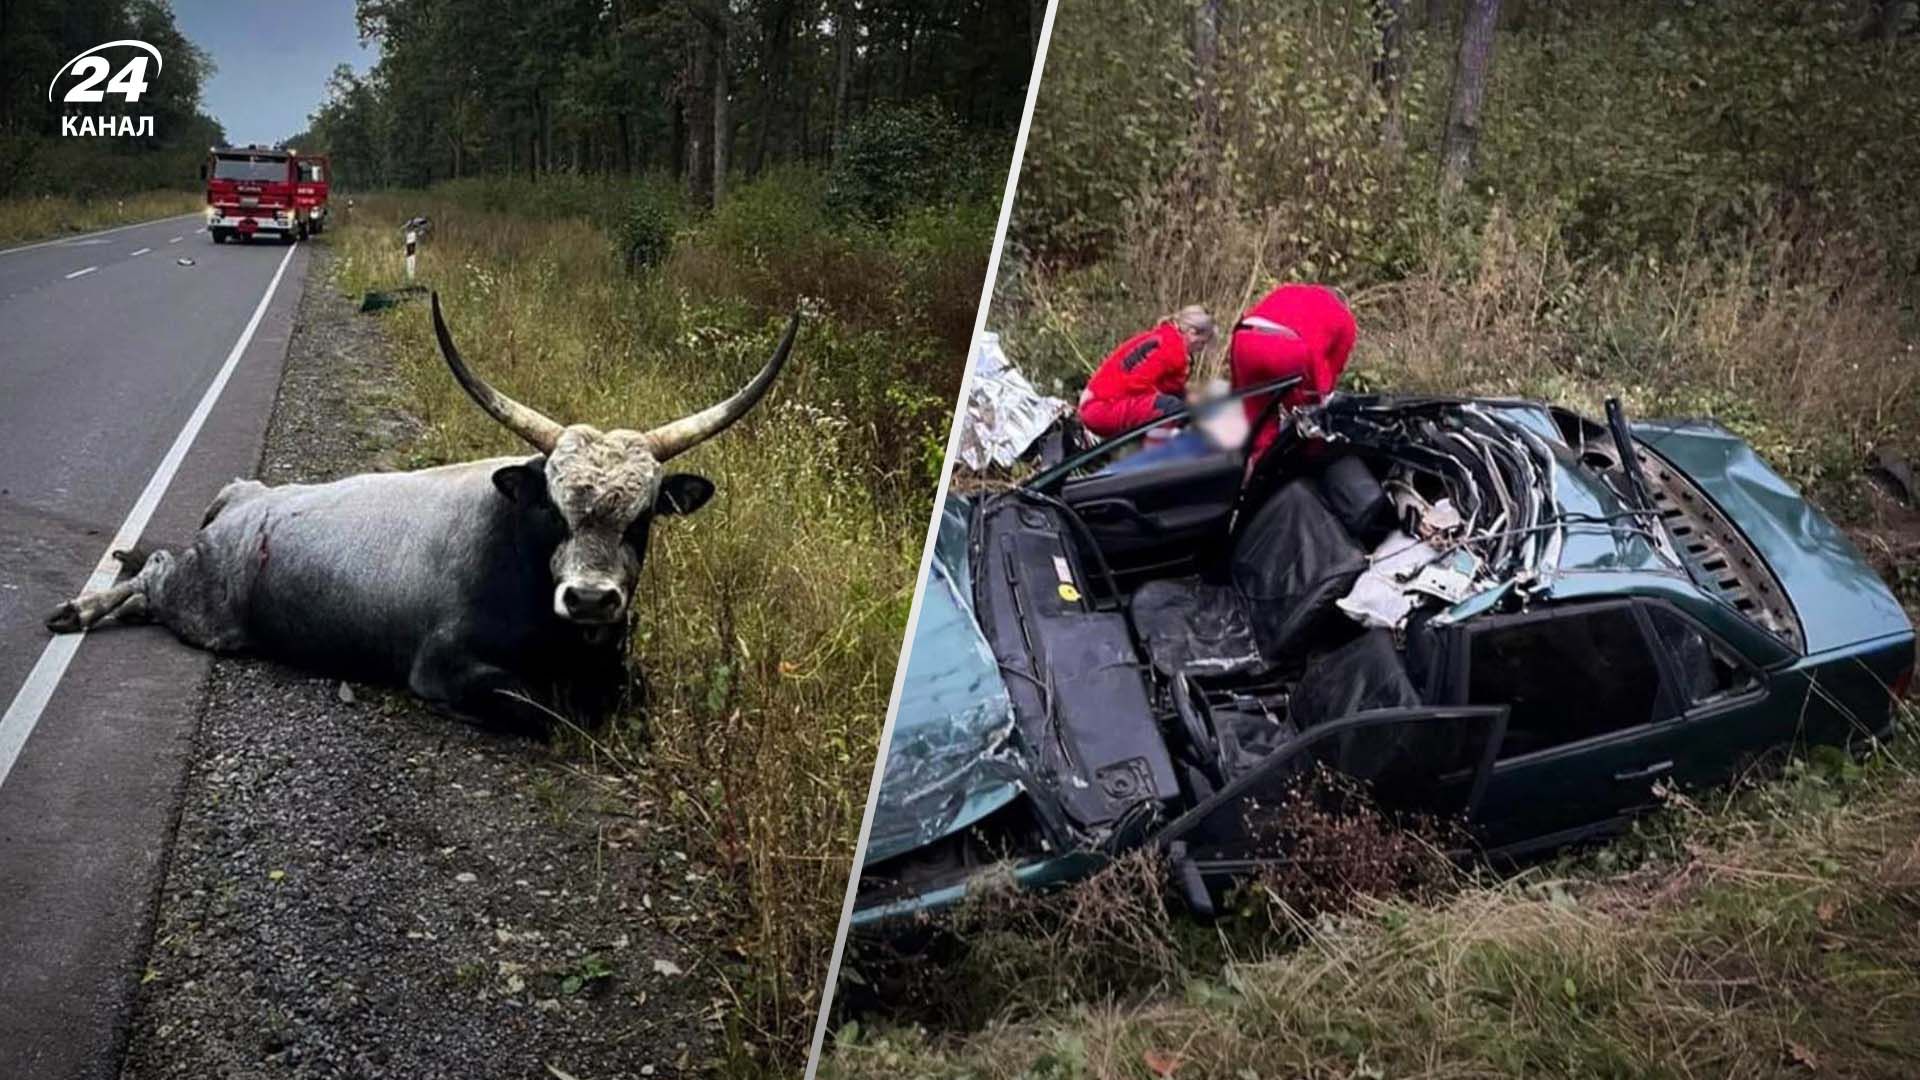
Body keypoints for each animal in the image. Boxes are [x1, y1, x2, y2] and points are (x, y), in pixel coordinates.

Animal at [46, 294, 794, 730]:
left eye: (641, 518)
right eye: (554, 512)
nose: (588, 599)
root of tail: (247, 495)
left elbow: (629, 692)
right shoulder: (446, 668)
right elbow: (548, 713)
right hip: (201, 604)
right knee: (153, 573)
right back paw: (81, 608)